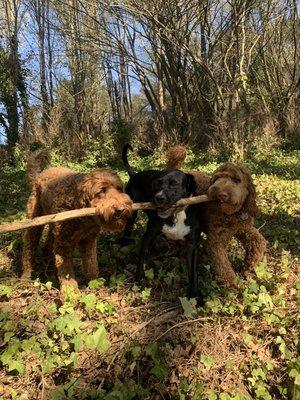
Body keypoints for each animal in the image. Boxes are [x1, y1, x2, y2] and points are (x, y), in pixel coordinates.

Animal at [21, 150, 132, 290]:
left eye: (119, 188)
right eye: (101, 191)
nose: (121, 209)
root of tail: (39, 175)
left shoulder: (89, 241)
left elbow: (91, 264)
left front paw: (94, 283)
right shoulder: (63, 246)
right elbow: (67, 273)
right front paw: (71, 291)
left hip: (53, 225)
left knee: (48, 244)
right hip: (35, 223)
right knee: (29, 247)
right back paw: (26, 275)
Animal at [121, 145, 204, 304]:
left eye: (174, 184)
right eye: (157, 183)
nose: (158, 198)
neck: (176, 215)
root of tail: (134, 175)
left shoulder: (192, 244)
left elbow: (193, 271)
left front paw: (195, 294)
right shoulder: (149, 231)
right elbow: (142, 256)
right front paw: (138, 279)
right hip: (132, 214)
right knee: (127, 230)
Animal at [166, 145, 268, 290]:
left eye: (237, 180)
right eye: (216, 179)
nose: (221, 194)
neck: (231, 215)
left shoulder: (244, 228)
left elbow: (258, 242)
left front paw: (250, 264)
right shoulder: (217, 239)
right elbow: (222, 263)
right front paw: (231, 284)